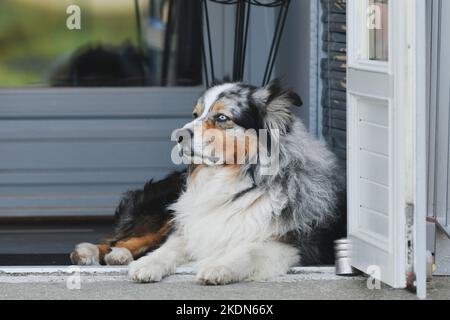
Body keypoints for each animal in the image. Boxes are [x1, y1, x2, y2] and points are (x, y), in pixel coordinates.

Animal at [70, 80, 346, 284]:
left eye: (222, 117)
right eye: (195, 114)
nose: (178, 136)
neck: (232, 179)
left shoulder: (291, 245)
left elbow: (248, 250)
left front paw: (218, 267)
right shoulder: (193, 224)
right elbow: (169, 247)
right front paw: (148, 264)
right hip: (169, 206)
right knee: (125, 238)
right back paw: (95, 252)